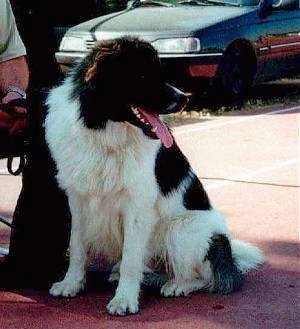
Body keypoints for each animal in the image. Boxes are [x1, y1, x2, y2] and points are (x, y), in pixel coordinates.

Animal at [45, 37, 264, 316]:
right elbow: (77, 246)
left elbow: (130, 258)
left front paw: (124, 299)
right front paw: (71, 283)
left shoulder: (137, 204)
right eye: (142, 75)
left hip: (182, 229)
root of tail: (228, 252)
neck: (104, 133)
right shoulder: (78, 198)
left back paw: (177, 285)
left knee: (206, 277)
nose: (184, 99)